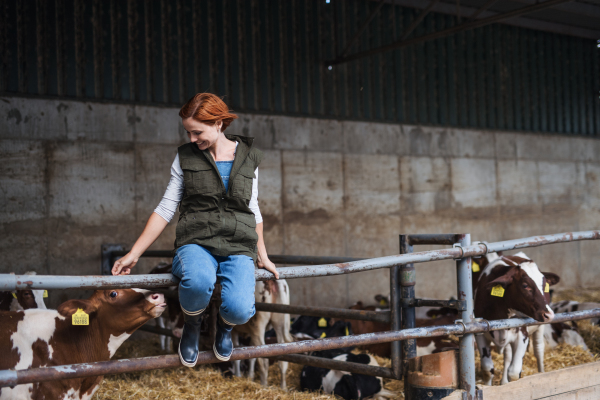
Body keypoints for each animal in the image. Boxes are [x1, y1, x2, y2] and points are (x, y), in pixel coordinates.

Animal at [474, 252, 564, 386]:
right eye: (525, 285)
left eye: (544, 285)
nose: (549, 315)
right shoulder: (479, 333)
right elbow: (487, 368)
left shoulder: (522, 334)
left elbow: (514, 372)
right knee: (507, 355)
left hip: (539, 328)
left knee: (538, 350)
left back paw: (541, 372)